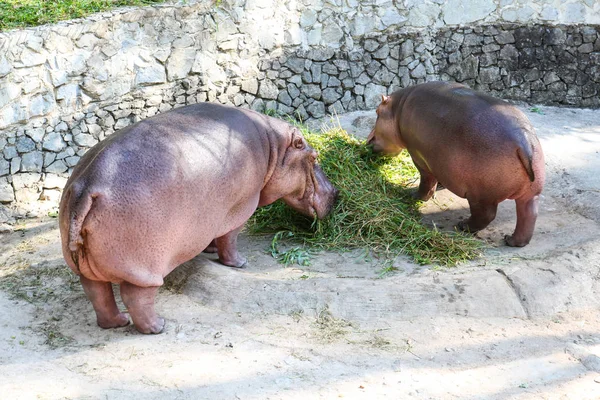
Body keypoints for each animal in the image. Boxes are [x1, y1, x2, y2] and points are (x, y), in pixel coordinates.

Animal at [58, 101, 340, 332]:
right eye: (314, 157)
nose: (337, 192)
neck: (274, 147)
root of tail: (87, 186)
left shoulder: (212, 215)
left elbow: (214, 236)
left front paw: (209, 250)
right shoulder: (239, 208)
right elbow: (230, 238)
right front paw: (239, 263)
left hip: (85, 266)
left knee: (97, 292)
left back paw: (115, 323)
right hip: (143, 266)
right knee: (135, 295)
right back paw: (158, 327)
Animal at [368, 82, 548, 247]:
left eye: (377, 112)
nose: (368, 142)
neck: (397, 109)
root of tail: (524, 141)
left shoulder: (418, 156)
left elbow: (426, 181)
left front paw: (413, 196)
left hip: (480, 195)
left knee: (486, 215)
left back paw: (463, 226)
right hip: (531, 194)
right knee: (528, 215)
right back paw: (511, 240)